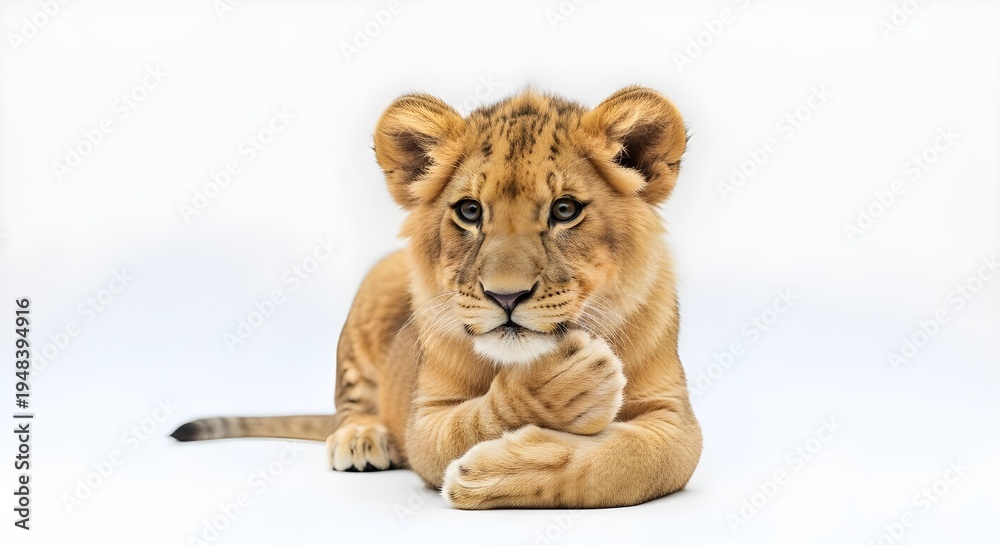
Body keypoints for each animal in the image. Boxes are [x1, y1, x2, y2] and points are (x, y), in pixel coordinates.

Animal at [172, 86, 702, 509]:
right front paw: (562, 386)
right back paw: (360, 438)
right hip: (379, 283)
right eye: (469, 211)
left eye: (565, 210)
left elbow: (627, 464)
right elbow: (475, 421)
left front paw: (493, 475)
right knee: (350, 404)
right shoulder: (423, 420)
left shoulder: (675, 422)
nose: (506, 296)